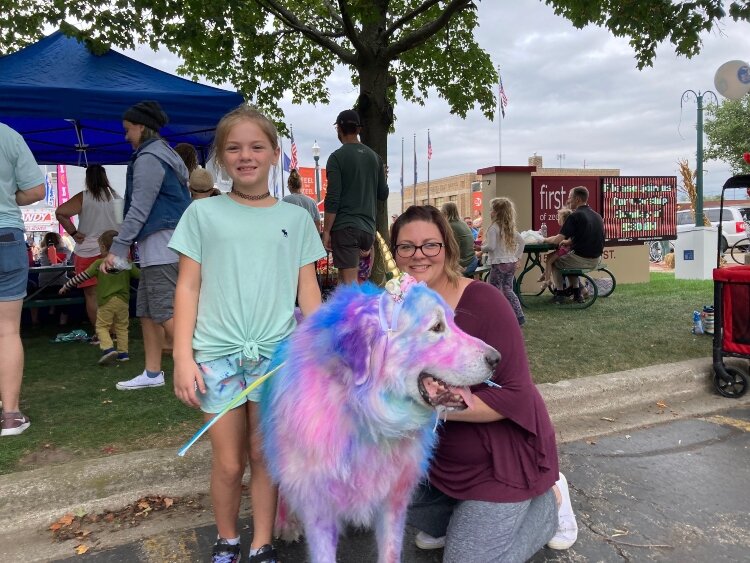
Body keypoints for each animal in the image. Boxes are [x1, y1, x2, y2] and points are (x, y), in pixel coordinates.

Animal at [262, 274, 502, 563]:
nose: (497, 358)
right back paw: (285, 523)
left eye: (454, 322)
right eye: (436, 327)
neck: (364, 415)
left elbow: (390, 551)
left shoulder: (394, 501)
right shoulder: (320, 509)